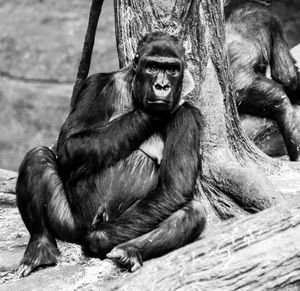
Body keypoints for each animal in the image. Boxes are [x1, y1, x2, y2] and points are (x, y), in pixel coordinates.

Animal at [15, 30, 205, 278]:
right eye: (152, 66)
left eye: (172, 69)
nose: (162, 85)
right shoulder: (96, 84)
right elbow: (69, 144)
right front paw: (151, 113)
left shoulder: (188, 116)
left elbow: (175, 186)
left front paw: (99, 238)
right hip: (69, 225)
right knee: (37, 157)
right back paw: (41, 248)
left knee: (192, 213)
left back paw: (129, 250)